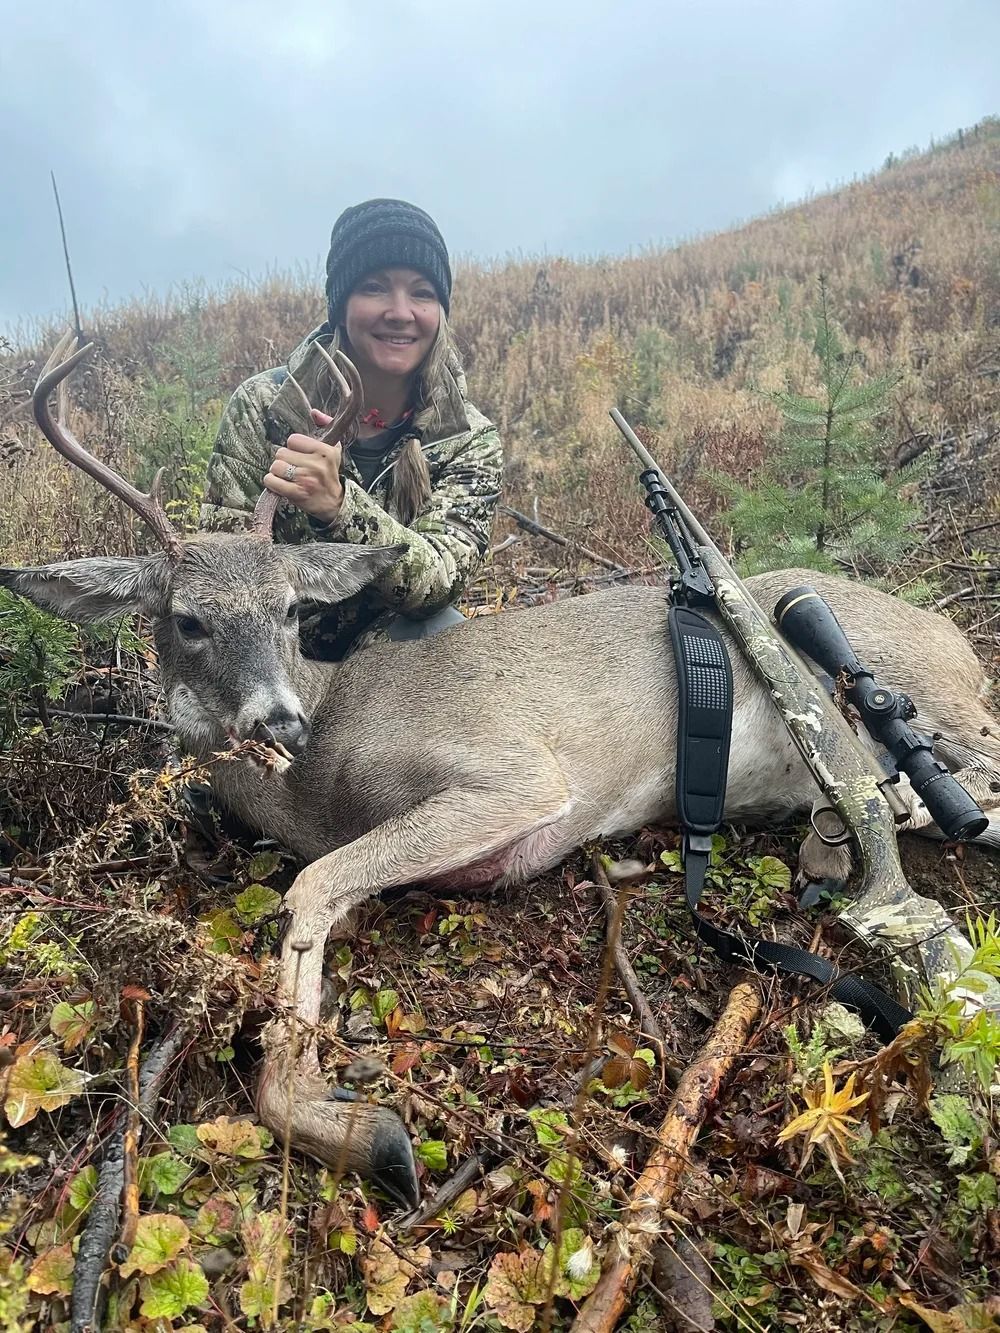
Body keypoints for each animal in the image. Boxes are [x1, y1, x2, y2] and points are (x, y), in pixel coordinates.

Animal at [4, 333, 1000, 1208]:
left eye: (290, 608)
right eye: (188, 620)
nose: (280, 721)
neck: (316, 779)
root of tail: (955, 638)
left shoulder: (516, 774)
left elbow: (313, 885)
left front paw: (367, 1132)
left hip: (923, 704)